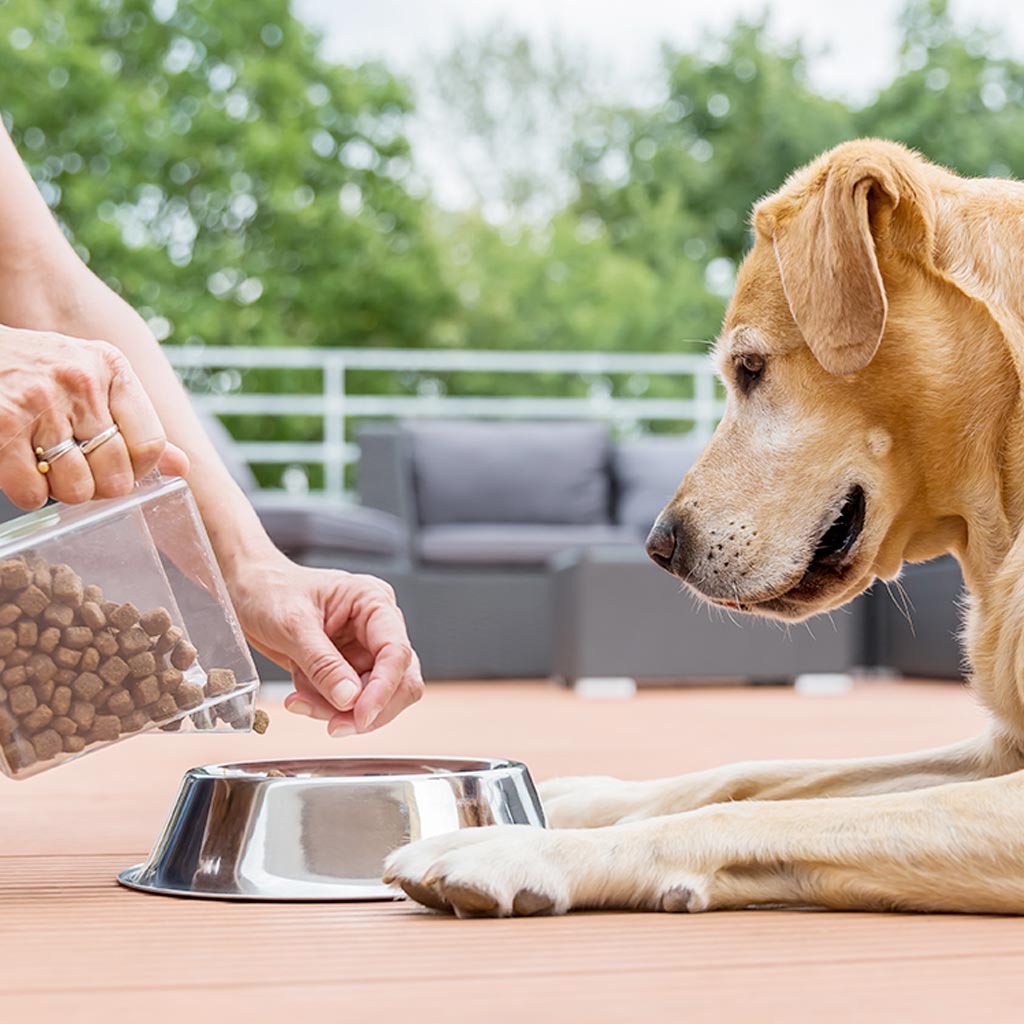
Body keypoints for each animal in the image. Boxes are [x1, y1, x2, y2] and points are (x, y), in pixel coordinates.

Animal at [385, 140, 1024, 917]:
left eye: (749, 368)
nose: (659, 548)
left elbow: (753, 812)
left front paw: (522, 850)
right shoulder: (999, 750)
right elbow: (749, 774)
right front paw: (574, 803)